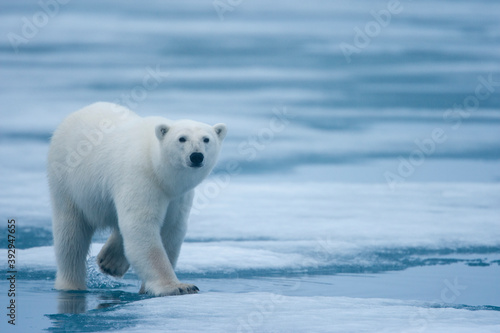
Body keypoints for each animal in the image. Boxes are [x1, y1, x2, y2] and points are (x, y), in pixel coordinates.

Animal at [47, 102, 227, 296]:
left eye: (206, 139)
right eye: (182, 139)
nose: (196, 156)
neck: (157, 168)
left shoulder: (178, 197)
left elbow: (171, 229)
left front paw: (147, 288)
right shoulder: (140, 178)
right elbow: (142, 226)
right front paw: (177, 286)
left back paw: (110, 262)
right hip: (68, 180)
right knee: (71, 237)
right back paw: (72, 284)